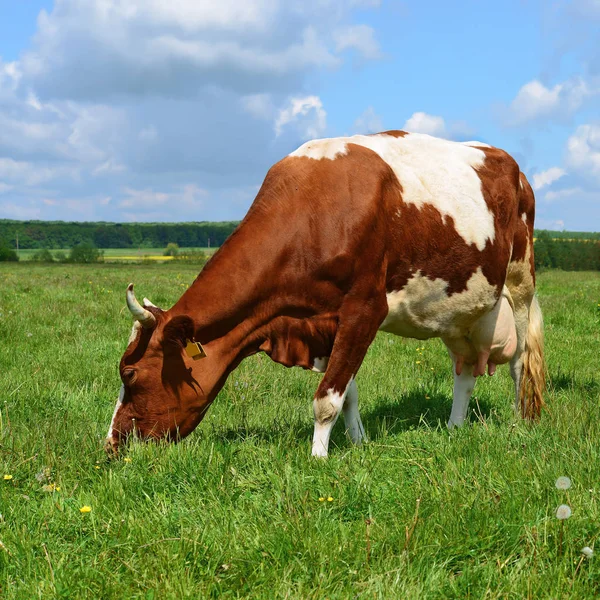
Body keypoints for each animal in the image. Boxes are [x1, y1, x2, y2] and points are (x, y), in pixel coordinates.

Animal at [105, 131, 548, 458]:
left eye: (130, 374)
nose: (111, 445)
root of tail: (514, 167)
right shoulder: (326, 322)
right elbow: (347, 391)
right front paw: (358, 442)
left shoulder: (364, 309)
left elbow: (327, 399)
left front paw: (317, 459)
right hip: (459, 310)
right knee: (465, 370)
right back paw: (454, 428)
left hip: (519, 282)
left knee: (519, 362)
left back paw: (519, 423)